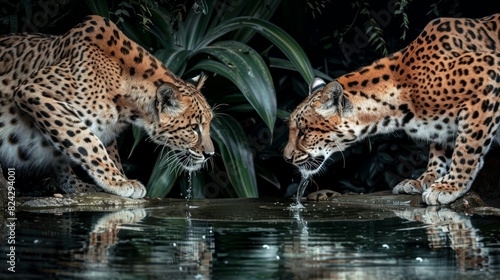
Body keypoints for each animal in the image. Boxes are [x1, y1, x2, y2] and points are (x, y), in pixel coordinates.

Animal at [0, 15, 214, 199]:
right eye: (194, 128)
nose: (210, 155)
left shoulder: (109, 131)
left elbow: (107, 151)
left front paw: (120, 178)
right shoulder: (34, 90)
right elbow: (86, 141)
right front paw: (118, 182)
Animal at [286, 13, 500, 205]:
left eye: (304, 132)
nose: (286, 158)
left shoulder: (487, 85)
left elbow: (467, 148)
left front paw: (449, 186)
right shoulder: (443, 126)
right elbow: (439, 152)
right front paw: (424, 180)